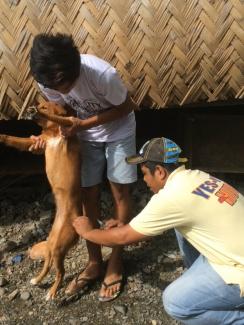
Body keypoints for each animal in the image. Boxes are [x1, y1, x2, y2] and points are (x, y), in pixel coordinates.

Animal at [0, 102, 82, 300]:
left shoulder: (68, 124)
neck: (52, 134)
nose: (32, 106)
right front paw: (1, 136)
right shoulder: (34, 142)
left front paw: (38, 112)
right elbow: (13, 138)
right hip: (52, 245)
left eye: (44, 105)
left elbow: (57, 116)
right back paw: (37, 280)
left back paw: (51, 293)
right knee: (48, 264)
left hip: (59, 249)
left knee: (61, 272)